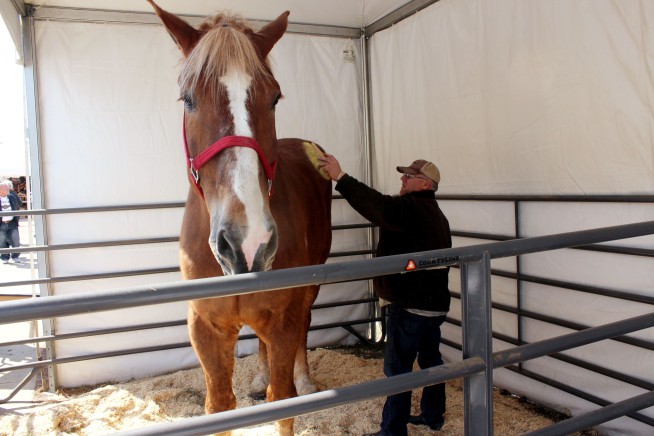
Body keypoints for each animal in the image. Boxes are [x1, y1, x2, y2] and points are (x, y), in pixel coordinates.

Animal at [147, 2, 333, 434]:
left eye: (275, 97)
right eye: (188, 99)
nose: (248, 244)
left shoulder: (283, 320)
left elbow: (282, 402)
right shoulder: (207, 329)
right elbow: (219, 406)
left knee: (306, 323)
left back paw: (305, 377)